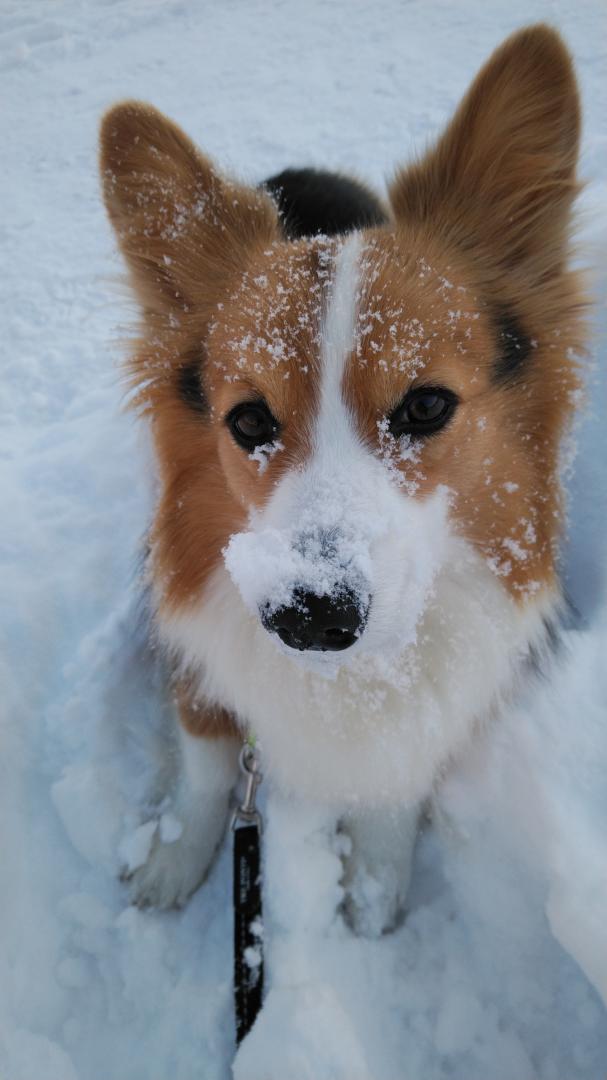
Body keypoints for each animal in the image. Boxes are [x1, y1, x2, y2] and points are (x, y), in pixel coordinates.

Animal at [99, 25, 583, 928]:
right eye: (248, 422)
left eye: (425, 405)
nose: (310, 615)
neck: (348, 679)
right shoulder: (196, 648)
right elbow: (207, 758)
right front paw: (175, 856)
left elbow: (397, 775)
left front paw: (371, 887)